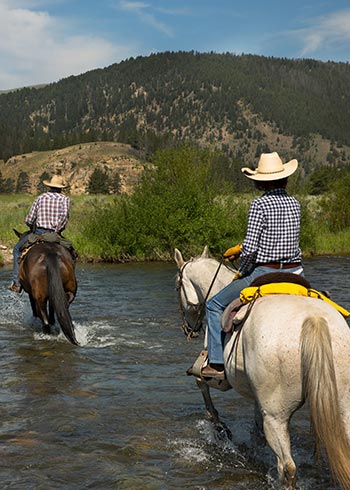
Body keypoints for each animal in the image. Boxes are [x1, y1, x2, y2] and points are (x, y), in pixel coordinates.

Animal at [175, 247, 350, 488]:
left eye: (177, 286)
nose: (188, 329)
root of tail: (314, 320)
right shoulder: (258, 397)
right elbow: (256, 428)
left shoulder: (215, 373)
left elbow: (200, 381)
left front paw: (220, 427)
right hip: (343, 407)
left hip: (276, 416)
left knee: (287, 466)